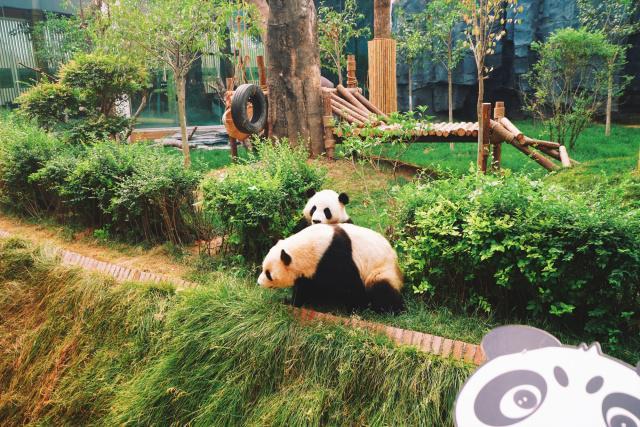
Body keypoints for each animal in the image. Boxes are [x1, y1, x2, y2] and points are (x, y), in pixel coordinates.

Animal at [258, 224, 402, 314]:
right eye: (263, 268)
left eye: (268, 273)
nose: (259, 283)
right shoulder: (311, 271)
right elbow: (305, 287)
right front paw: (290, 301)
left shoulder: (334, 258)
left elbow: (350, 285)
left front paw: (354, 309)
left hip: (381, 269)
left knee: (381, 289)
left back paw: (387, 308)